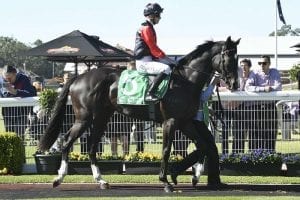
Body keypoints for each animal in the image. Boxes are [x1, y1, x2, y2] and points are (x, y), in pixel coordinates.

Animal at [39, 36, 240, 192]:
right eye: (229, 58)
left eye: (238, 58)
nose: (234, 84)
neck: (186, 80)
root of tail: (78, 77)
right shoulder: (171, 121)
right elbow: (166, 150)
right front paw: (165, 181)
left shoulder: (185, 122)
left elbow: (202, 146)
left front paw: (183, 174)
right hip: (84, 117)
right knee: (67, 140)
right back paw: (59, 178)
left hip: (102, 117)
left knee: (92, 144)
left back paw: (101, 180)